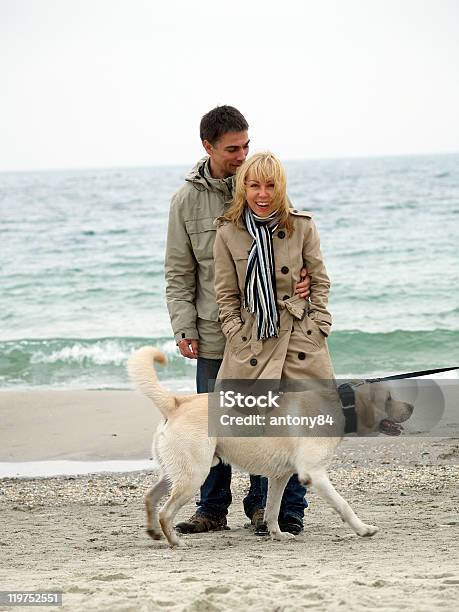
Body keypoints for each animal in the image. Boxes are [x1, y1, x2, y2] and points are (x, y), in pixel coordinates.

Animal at [127, 346, 416, 548]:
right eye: (389, 399)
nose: (412, 407)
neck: (341, 405)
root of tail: (177, 402)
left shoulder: (280, 477)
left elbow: (273, 509)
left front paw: (278, 534)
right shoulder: (315, 474)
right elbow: (343, 504)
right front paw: (363, 529)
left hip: (176, 473)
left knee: (150, 497)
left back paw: (154, 532)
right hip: (195, 475)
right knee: (165, 512)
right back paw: (175, 541)